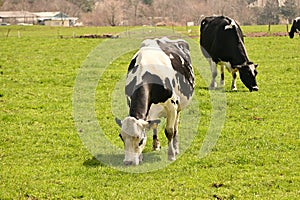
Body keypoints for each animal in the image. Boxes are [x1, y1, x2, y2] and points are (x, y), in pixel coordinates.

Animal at [115, 37, 195, 166]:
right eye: (121, 137)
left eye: (140, 140)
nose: (128, 162)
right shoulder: (130, 101)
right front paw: (141, 157)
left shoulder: (172, 106)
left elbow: (169, 131)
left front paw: (171, 155)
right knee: (155, 124)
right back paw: (156, 144)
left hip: (179, 107)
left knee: (176, 127)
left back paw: (176, 148)